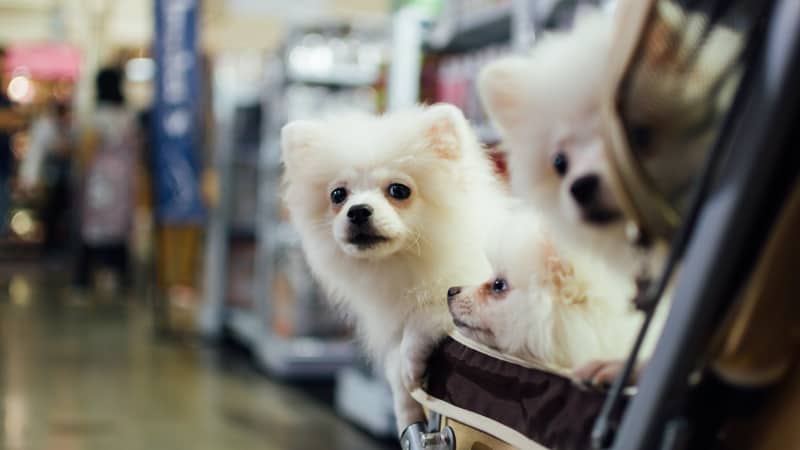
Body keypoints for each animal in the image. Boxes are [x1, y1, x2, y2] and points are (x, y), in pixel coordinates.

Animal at [278, 103, 510, 430]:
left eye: (399, 190)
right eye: (338, 195)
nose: (358, 211)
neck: (404, 263)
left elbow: (427, 316)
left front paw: (410, 363)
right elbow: (395, 374)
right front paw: (405, 407)